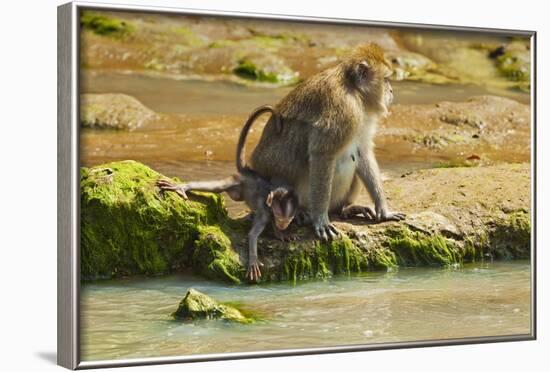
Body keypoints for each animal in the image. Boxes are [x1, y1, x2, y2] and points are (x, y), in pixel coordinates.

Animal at [157, 106, 300, 280]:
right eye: (280, 218)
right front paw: (254, 260)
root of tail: (246, 171)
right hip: (236, 181)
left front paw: (282, 233)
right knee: (218, 186)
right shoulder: (265, 213)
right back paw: (183, 187)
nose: (282, 224)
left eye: (288, 220)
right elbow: (252, 235)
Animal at [250, 44, 406, 241]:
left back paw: (345, 208)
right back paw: (300, 212)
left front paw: (384, 211)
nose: (391, 91)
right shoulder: (343, 108)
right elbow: (322, 154)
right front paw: (320, 219)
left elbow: (363, 152)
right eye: (386, 80)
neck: (354, 91)